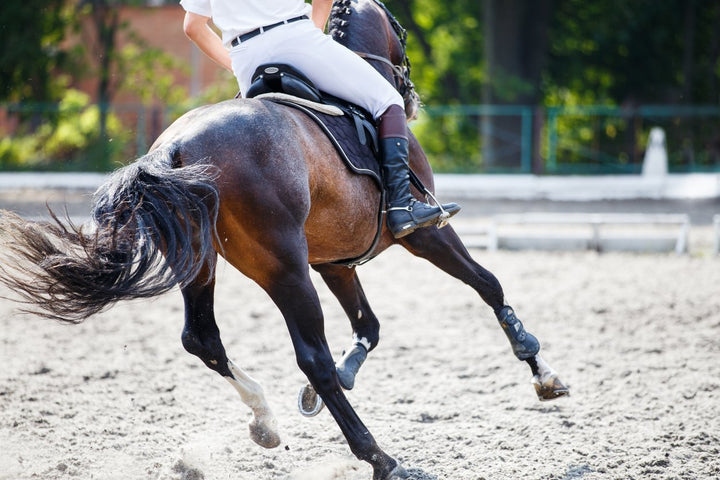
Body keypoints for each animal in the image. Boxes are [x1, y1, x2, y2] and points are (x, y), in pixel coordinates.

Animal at [0, 1, 568, 478]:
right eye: (401, 32)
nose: (410, 96)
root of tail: (174, 147)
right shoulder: (424, 234)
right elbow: (488, 284)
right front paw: (542, 372)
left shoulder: (335, 259)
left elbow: (369, 327)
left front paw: (331, 384)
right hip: (284, 267)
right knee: (309, 353)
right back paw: (380, 458)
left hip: (204, 261)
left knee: (203, 338)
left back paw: (266, 421)